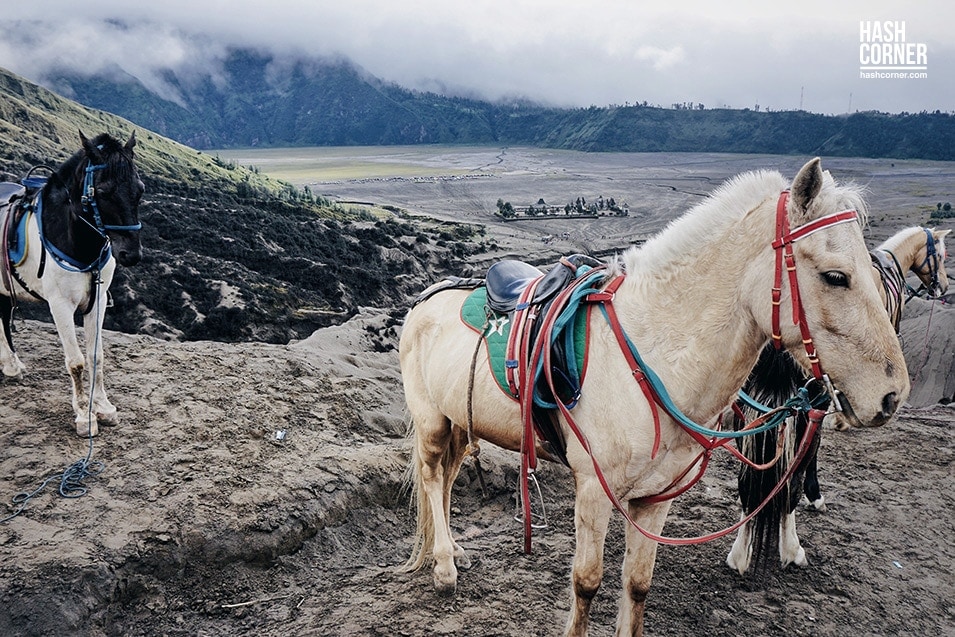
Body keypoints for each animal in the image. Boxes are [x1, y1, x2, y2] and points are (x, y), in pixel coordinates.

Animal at [0, 129, 144, 438]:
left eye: (139, 189)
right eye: (103, 192)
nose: (131, 253)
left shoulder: (97, 301)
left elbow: (96, 355)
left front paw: (103, 406)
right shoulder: (60, 306)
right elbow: (76, 362)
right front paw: (83, 415)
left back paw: (12, 366)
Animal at [400, 157, 908, 632]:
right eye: (835, 276)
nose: (892, 395)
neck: (653, 351)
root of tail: (425, 299)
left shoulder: (656, 498)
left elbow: (638, 584)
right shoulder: (593, 491)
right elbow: (586, 583)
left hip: (460, 423)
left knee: (448, 479)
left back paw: (454, 551)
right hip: (432, 423)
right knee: (431, 476)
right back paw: (443, 566)